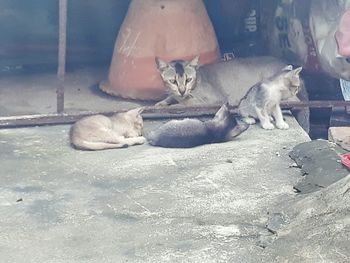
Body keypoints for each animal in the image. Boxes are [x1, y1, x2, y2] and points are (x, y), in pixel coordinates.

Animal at [154, 56, 310, 134]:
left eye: (188, 79)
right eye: (173, 81)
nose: (181, 90)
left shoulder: (211, 100)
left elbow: (185, 104)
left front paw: (167, 107)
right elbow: (170, 97)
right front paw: (160, 103)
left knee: (297, 102)